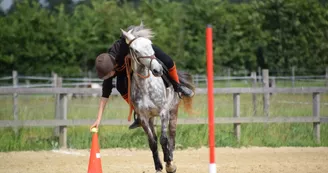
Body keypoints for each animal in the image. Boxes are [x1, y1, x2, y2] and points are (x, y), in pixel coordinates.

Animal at [121, 23, 195, 173]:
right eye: (135, 50)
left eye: (151, 46)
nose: (158, 70)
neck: (146, 87)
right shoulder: (144, 118)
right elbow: (153, 142)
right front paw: (159, 166)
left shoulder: (163, 113)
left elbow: (164, 139)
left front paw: (169, 164)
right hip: (151, 118)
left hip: (173, 112)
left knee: (172, 137)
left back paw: (170, 157)